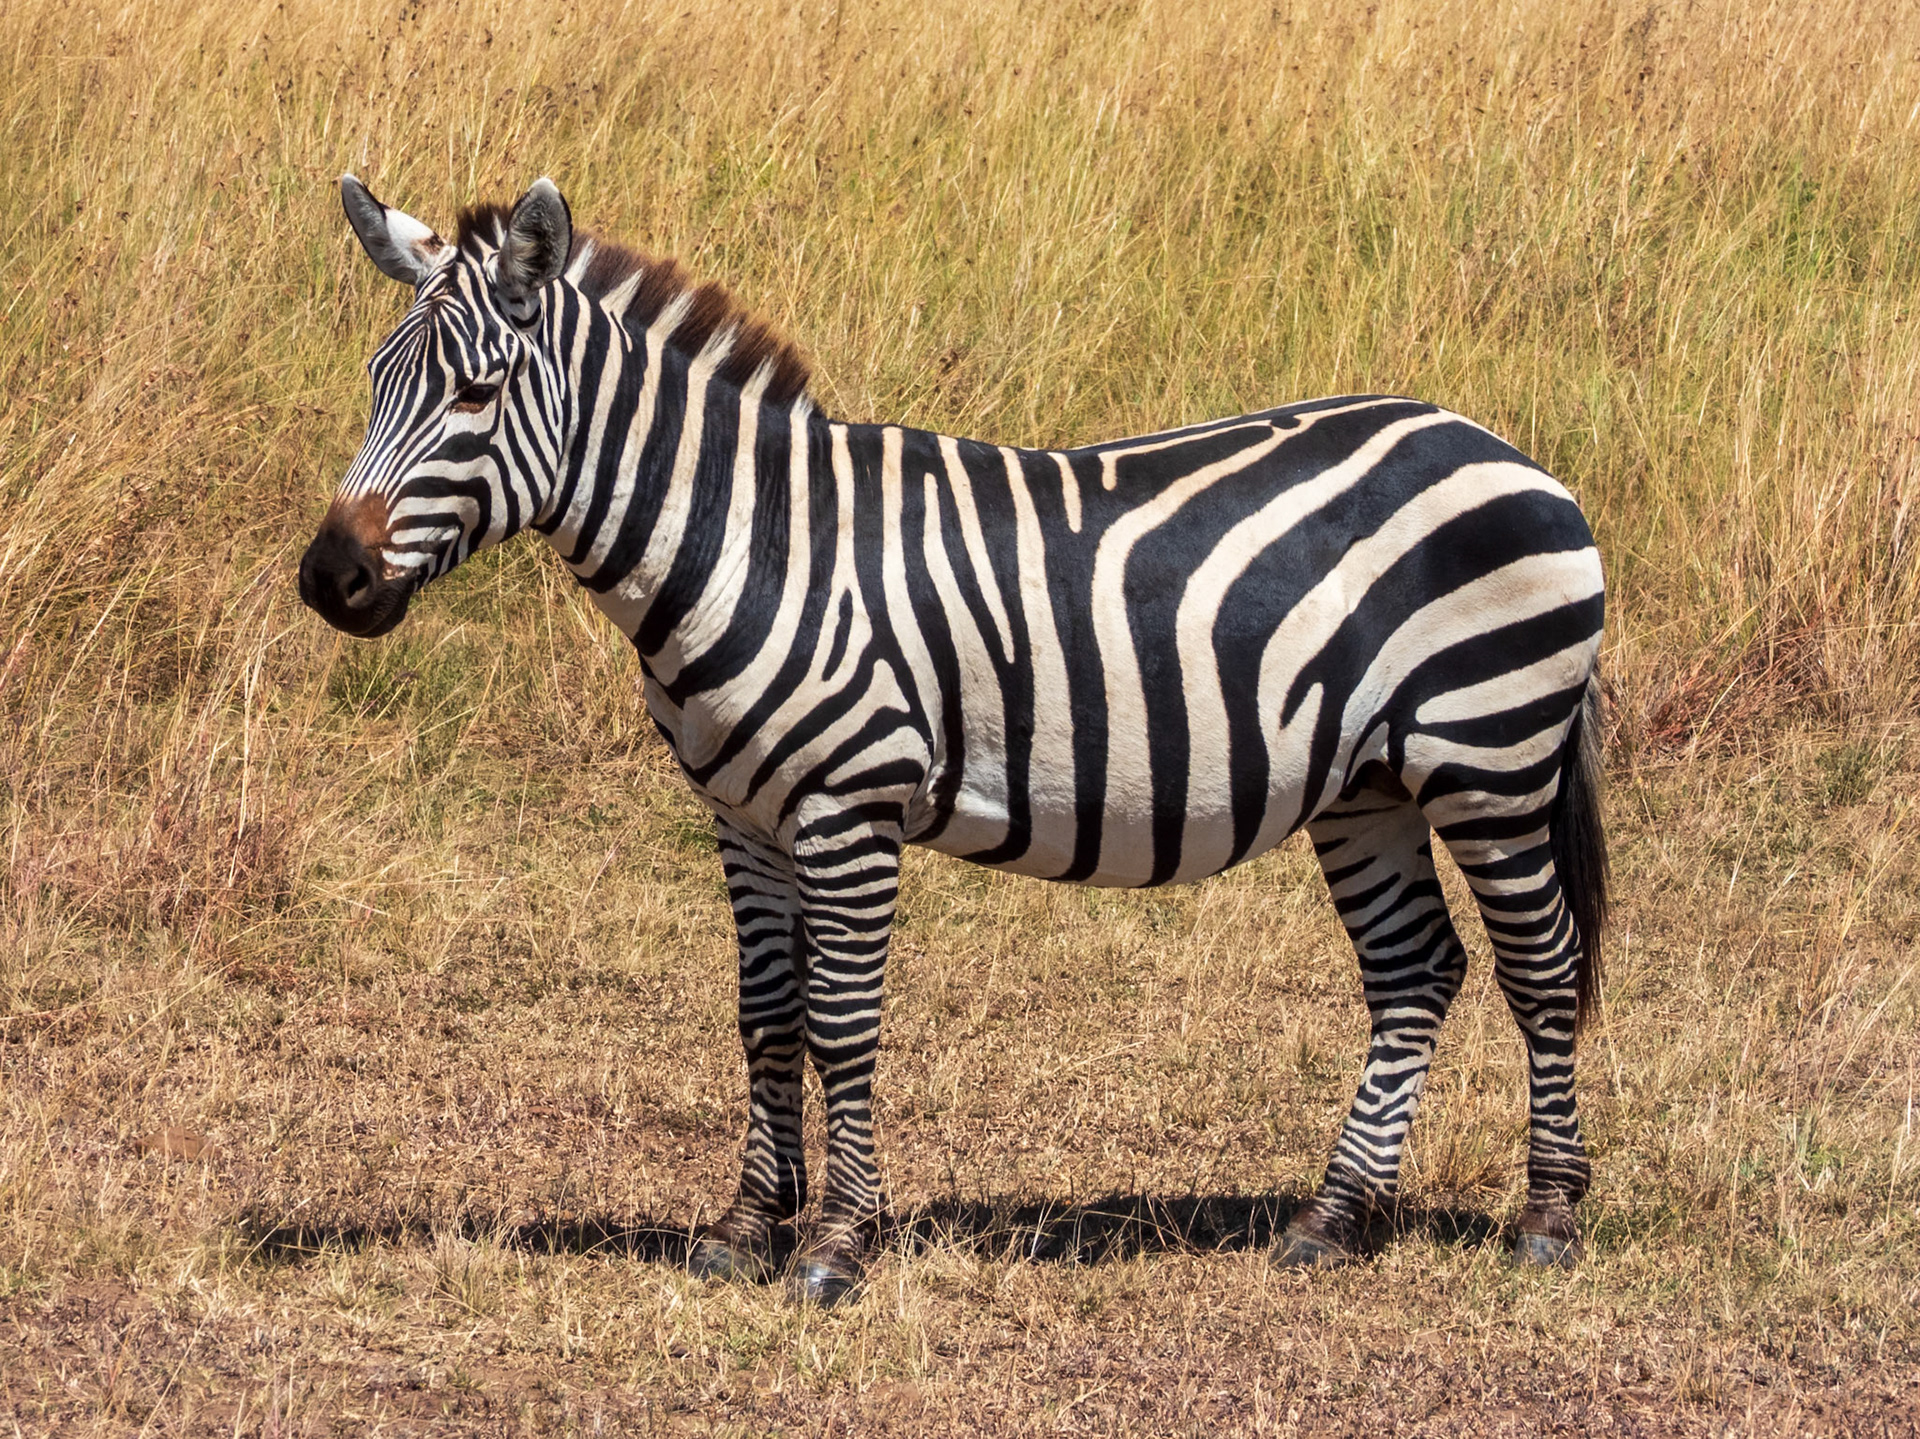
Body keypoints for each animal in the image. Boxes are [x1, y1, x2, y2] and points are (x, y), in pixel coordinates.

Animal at [300, 176, 1609, 1305]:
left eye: (475, 395)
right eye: (373, 381)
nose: (329, 579)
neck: (752, 542)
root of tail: (1498, 447)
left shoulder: (850, 802)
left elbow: (840, 1019)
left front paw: (836, 1244)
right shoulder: (744, 816)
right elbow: (765, 1015)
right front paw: (745, 1228)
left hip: (1490, 753)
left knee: (1540, 966)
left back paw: (1547, 1218)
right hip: (1367, 782)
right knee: (1414, 969)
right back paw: (1334, 1218)